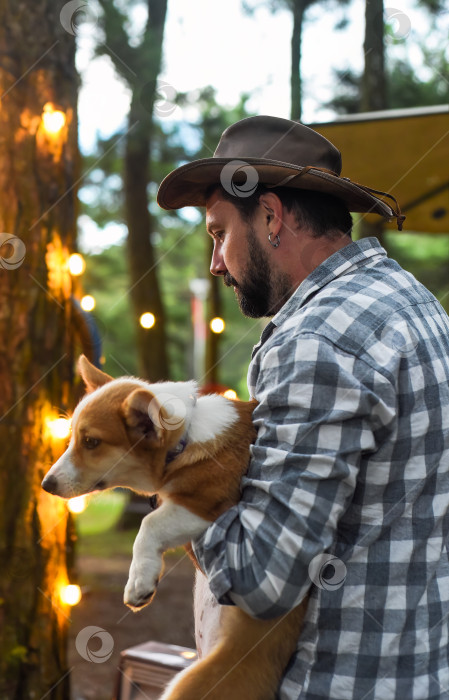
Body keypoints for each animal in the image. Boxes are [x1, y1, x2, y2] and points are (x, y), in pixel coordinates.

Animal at [42, 358, 304, 696]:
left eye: (91, 442)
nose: (46, 484)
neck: (186, 439)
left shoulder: (206, 505)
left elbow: (149, 524)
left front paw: (139, 583)